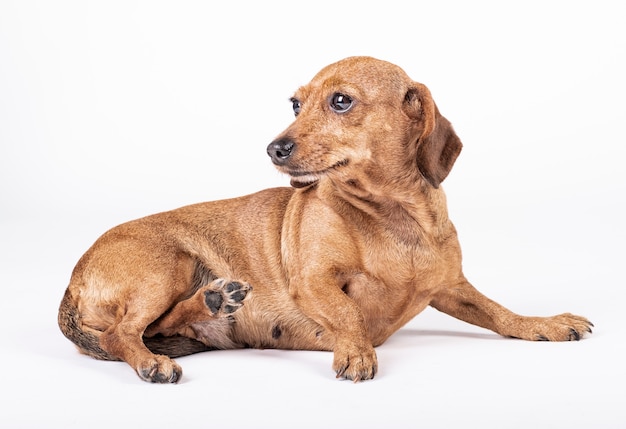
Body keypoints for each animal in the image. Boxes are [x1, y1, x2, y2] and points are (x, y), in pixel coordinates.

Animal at [57, 56, 588, 382]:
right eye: (296, 103)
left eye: (341, 100)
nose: (274, 148)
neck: (391, 218)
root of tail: (73, 280)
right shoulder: (313, 281)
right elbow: (348, 312)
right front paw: (356, 351)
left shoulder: (451, 287)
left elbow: (500, 313)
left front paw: (544, 324)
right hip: (171, 263)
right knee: (123, 334)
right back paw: (155, 360)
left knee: (160, 323)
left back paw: (214, 302)